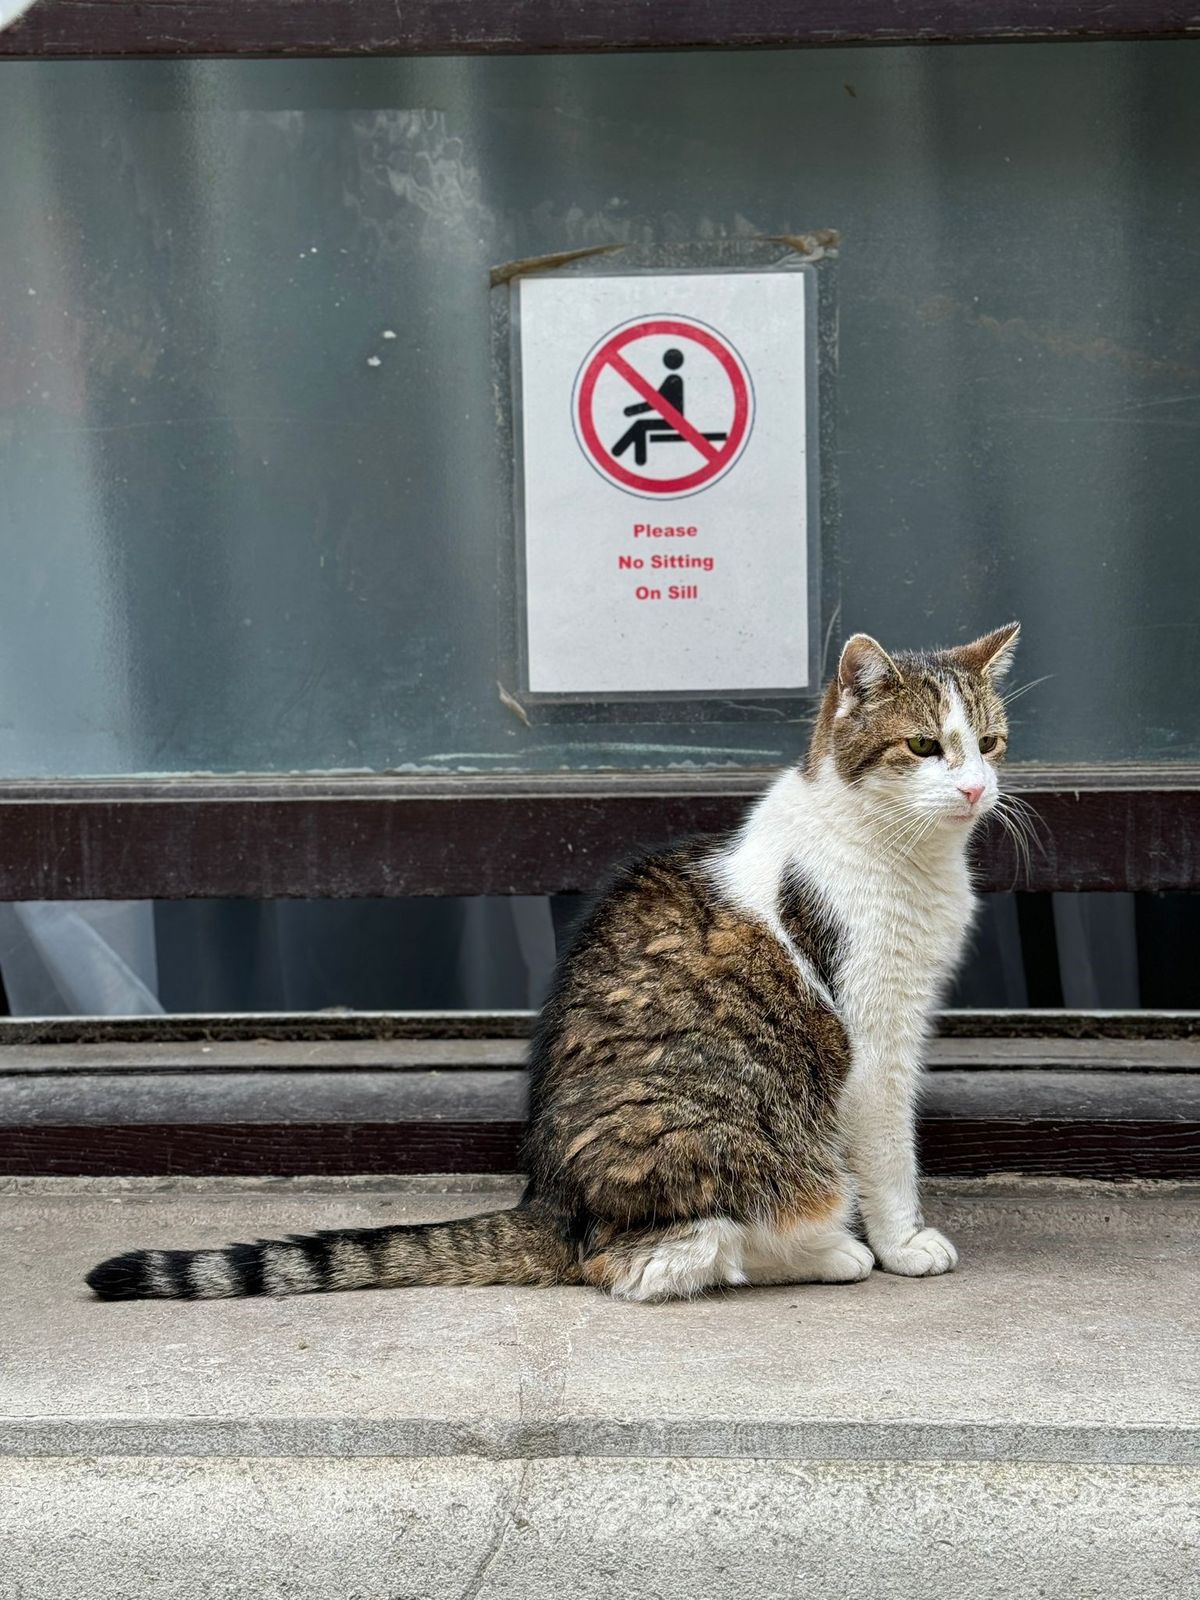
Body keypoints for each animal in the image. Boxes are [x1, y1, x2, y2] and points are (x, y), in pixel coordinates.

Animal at [86, 617, 1024, 1305]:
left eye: (988, 743)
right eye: (925, 748)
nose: (977, 788)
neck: (907, 853)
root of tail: (549, 1201)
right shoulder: (874, 1037)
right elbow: (891, 1155)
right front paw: (903, 1243)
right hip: (728, 1143)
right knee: (653, 1263)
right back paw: (832, 1252)